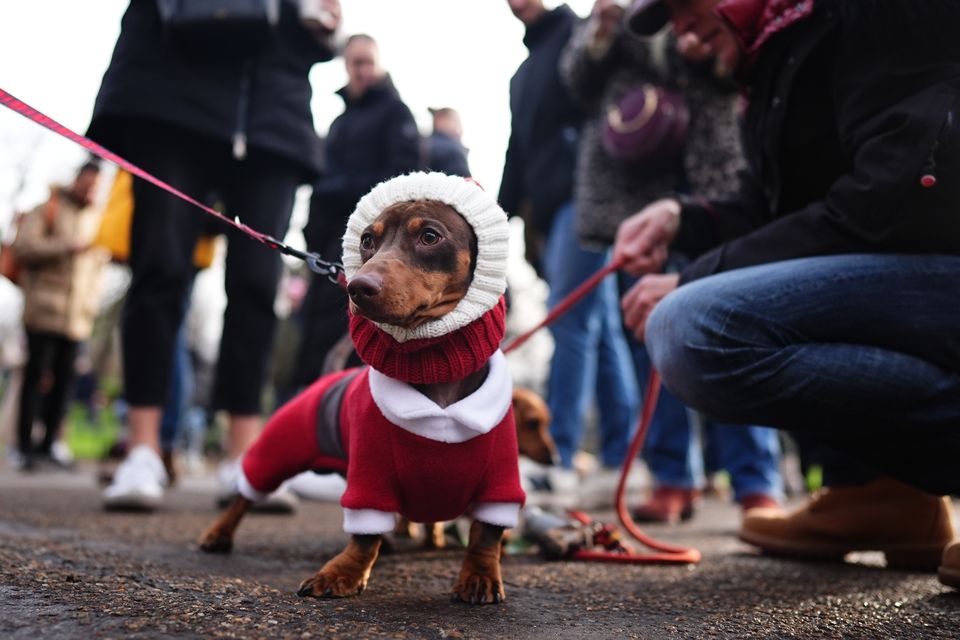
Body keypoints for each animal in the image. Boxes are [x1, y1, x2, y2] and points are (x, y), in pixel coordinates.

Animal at [199, 176, 544, 604]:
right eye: (367, 240)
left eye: (430, 236)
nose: (357, 288)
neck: (437, 375)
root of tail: (325, 378)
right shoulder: (370, 474)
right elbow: (363, 535)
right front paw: (341, 573)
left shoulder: (500, 482)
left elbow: (486, 533)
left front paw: (479, 576)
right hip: (279, 449)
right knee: (246, 492)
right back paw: (218, 532)